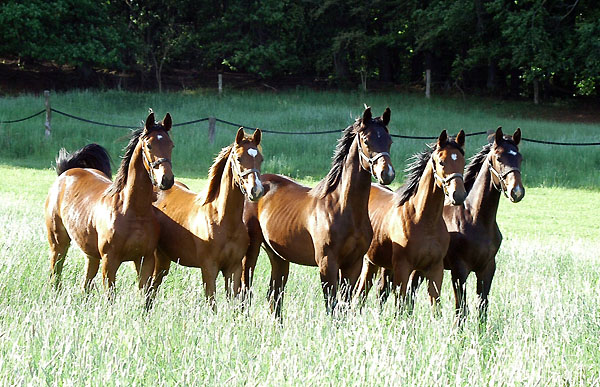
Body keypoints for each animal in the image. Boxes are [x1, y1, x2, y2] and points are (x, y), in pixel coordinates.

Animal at [44, 113, 175, 304]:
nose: (166, 180)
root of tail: (66, 172)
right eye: (149, 145)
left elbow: (144, 294)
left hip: (90, 254)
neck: (133, 212)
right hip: (58, 243)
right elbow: (110, 297)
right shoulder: (110, 261)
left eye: (171, 145)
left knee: (86, 284)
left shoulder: (145, 260)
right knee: (55, 274)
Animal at [149, 129, 264, 310]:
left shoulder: (234, 268)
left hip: (163, 259)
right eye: (239, 158)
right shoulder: (209, 269)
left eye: (260, 158)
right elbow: (212, 304)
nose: (256, 190)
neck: (223, 221)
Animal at [241, 107, 396, 318]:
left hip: (279, 256)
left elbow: (344, 306)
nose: (387, 174)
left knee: (274, 296)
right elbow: (332, 306)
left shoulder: (353, 264)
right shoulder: (327, 263)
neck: (344, 209)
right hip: (252, 249)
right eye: (366, 140)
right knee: (244, 290)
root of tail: (253, 187)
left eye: (389, 140)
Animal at [356, 130, 468, 316]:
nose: (458, 195)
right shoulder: (403, 268)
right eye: (441, 162)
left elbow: (435, 306)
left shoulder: (435, 269)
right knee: (359, 294)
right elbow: (400, 306)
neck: (423, 220)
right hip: (368, 262)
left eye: (462, 162)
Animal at [442, 126, 524, 324]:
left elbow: (482, 308)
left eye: (520, 158)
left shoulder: (487, 269)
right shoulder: (459, 271)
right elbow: (461, 310)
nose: (517, 191)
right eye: (499, 158)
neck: (476, 220)